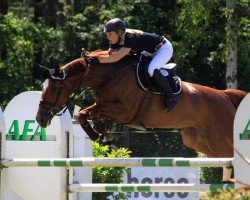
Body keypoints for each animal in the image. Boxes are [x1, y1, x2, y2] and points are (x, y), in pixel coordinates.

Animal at [36, 54, 247, 180]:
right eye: (42, 87)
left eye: (53, 88)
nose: (40, 119)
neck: (109, 76)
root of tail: (225, 95)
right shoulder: (104, 105)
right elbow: (83, 113)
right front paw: (101, 133)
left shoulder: (126, 111)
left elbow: (92, 113)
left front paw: (101, 133)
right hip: (200, 142)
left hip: (219, 139)